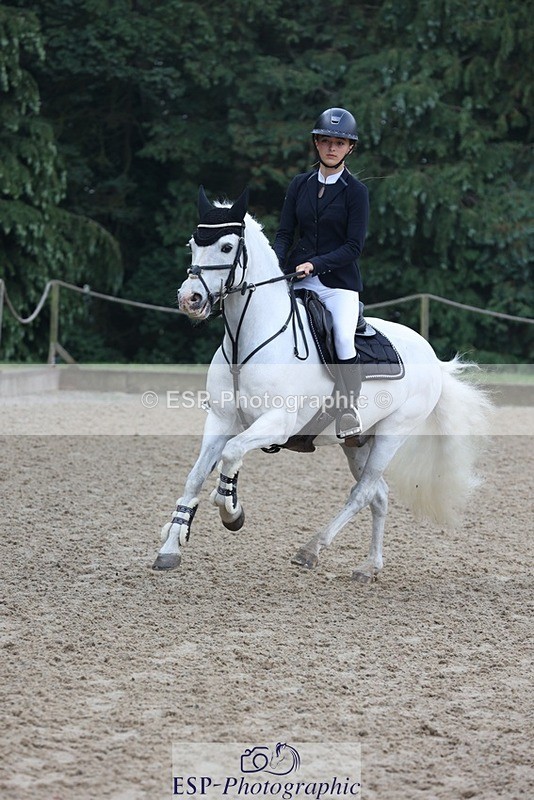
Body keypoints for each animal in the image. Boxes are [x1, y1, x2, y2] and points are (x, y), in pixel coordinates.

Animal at [152, 187, 492, 581]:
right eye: (193, 244)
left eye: (226, 247)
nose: (189, 299)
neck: (247, 340)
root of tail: (431, 356)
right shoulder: (220, 420)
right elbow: (195, 476)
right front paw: (171, 546)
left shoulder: (277, 423)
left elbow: (232, 453)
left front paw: (231, 510)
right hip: (357, 441)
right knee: (378, 494)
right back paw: (369, 566)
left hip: (392, 435)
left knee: (362, 493)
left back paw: (310, 549)